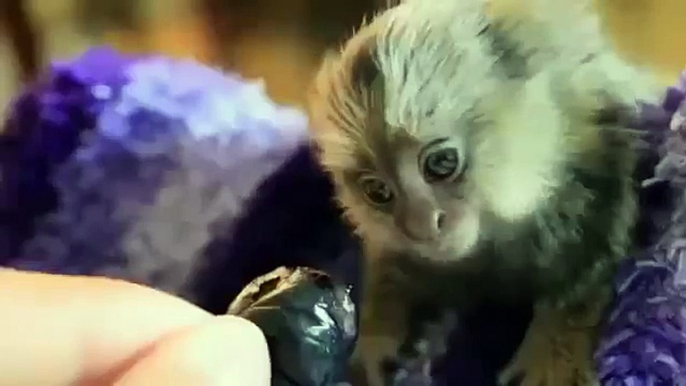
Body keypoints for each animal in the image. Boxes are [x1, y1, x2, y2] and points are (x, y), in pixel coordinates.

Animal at [310, 0, 660, 384]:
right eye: (378, 191)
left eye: (442, 163)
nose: (421, 225)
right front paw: (381, 336)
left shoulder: (594, 171)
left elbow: (587, 268)